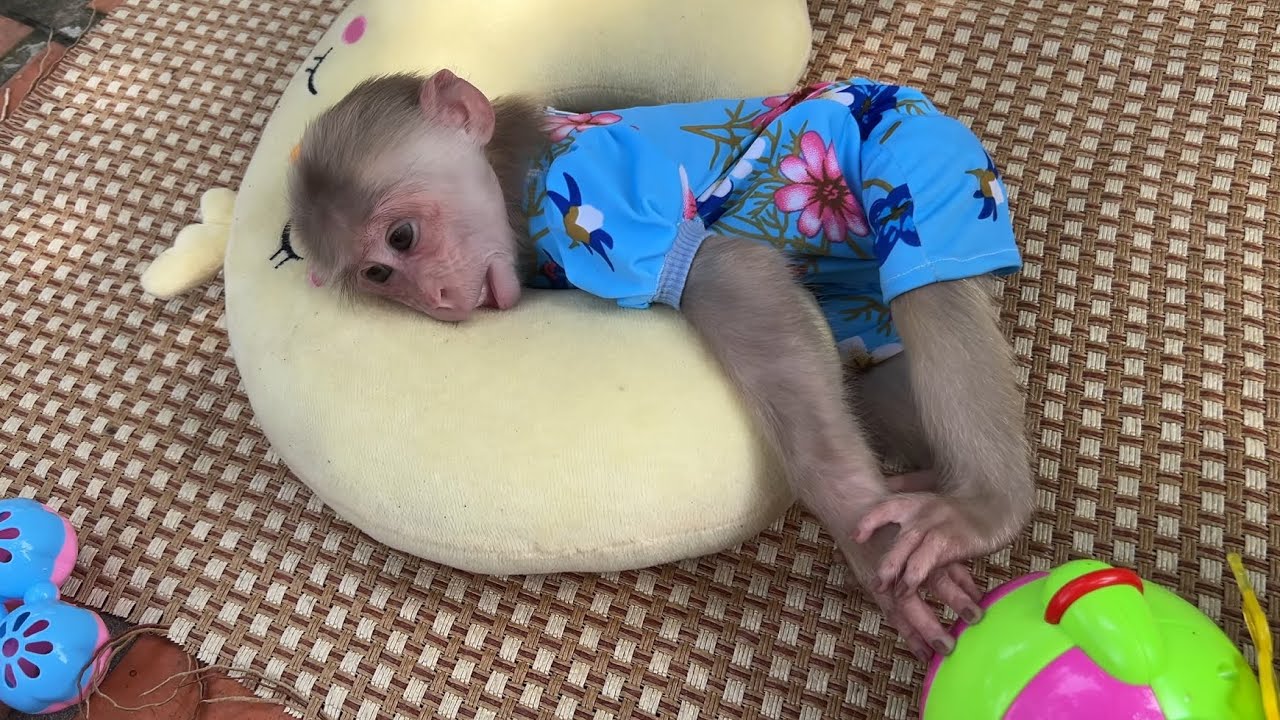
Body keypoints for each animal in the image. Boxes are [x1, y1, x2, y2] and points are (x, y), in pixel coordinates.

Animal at [288, 70, 1033, 661]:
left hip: (915, 155)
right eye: (379, 275)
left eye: (402, 236)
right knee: (868, 380)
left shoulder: (592, 201)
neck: (511, 177)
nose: (437, 301)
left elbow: (736, 274)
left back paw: (986, 505)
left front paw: (864, 530)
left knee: (931, 291)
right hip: (859, 309)